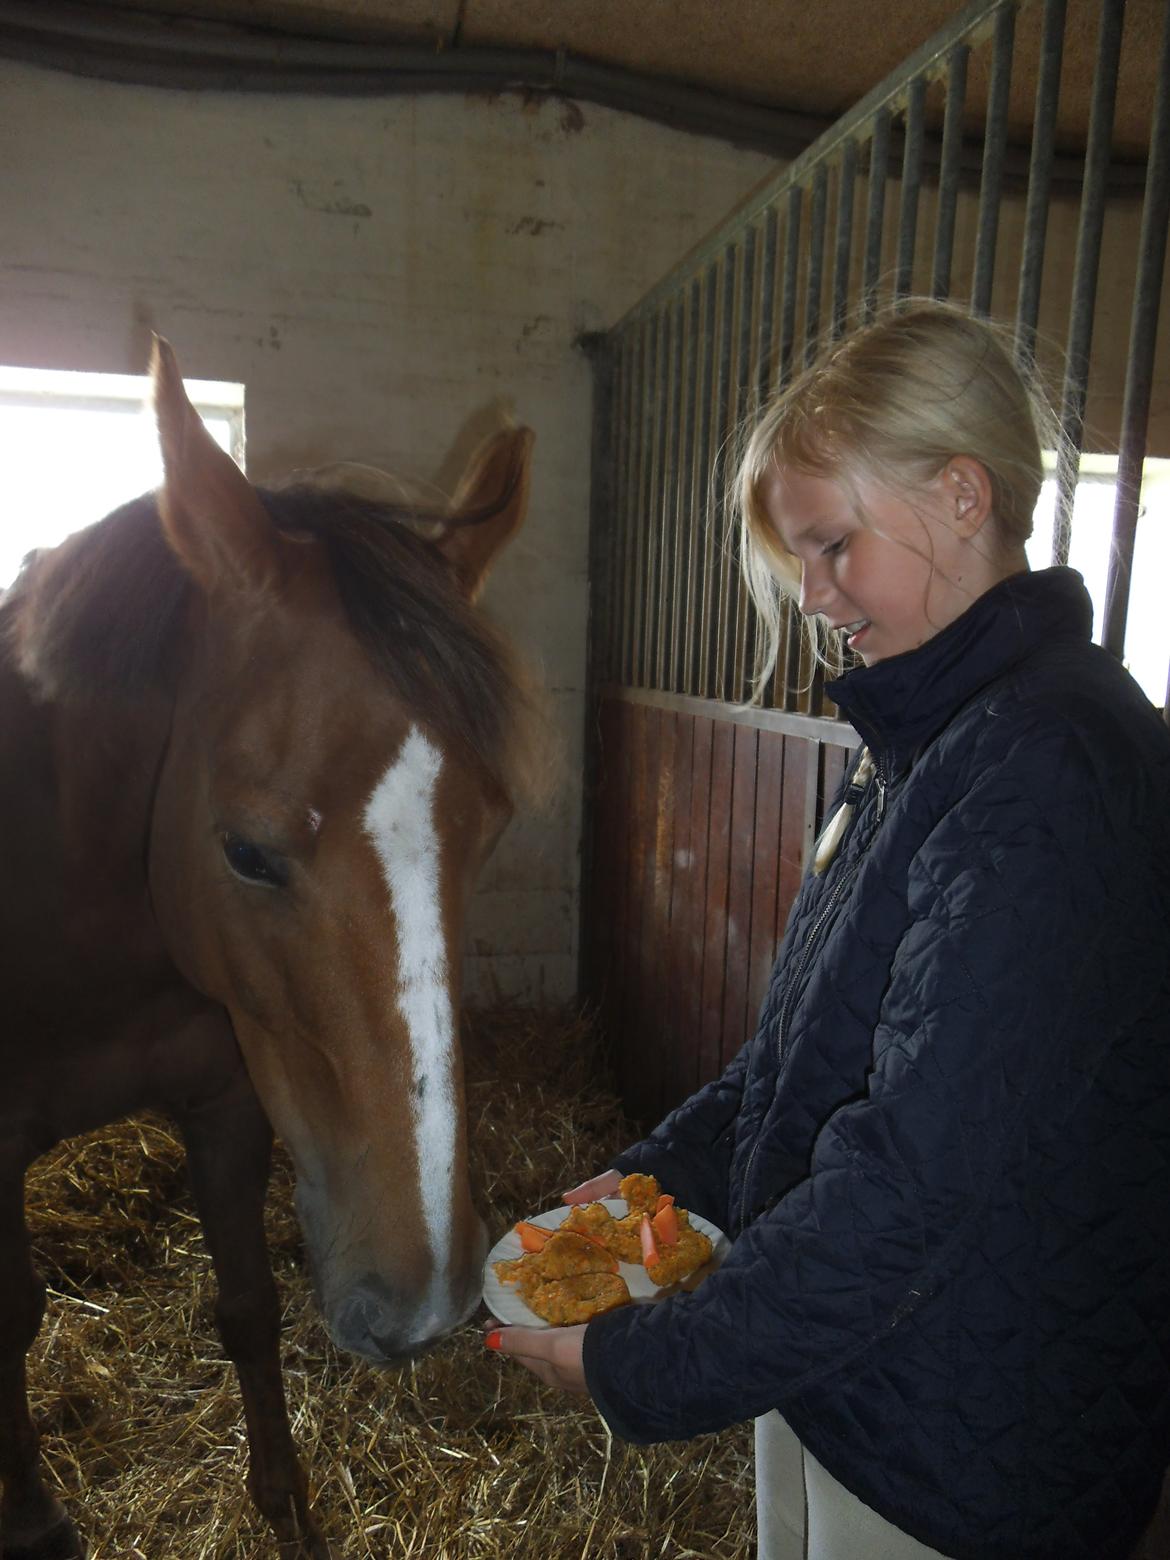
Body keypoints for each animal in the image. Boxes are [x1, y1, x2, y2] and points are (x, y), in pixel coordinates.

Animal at [0, 344, 539, 1560]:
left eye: (490, 831)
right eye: (246, 853)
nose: (426, 1302)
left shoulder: (227, 1100)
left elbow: (247, 1307)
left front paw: (287, 1508)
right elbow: (9, 1321)